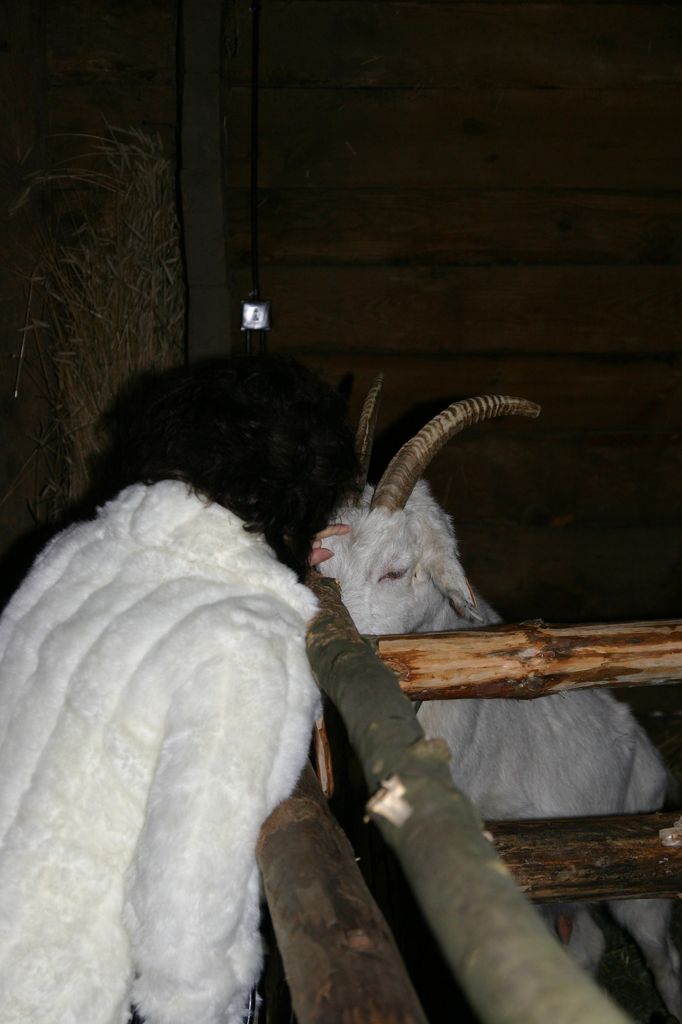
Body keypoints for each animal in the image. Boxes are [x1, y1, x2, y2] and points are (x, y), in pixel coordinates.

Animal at [319, 377, 681, 1019]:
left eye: (396, 570)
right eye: (327, 559)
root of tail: (647, 752)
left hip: (641, 878)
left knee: (663, 960)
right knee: (586, 945)